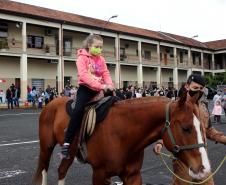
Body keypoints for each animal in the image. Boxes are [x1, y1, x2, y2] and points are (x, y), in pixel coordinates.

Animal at [32, 93, 211, 184]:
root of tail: (50, 104)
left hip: (69, 152)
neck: (123, 134)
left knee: (61, 170)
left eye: (202, 127)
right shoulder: (100, 173)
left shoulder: (133, 175)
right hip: (46, 147)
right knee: (43, 170)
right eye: (186, 128)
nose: (204, 169)